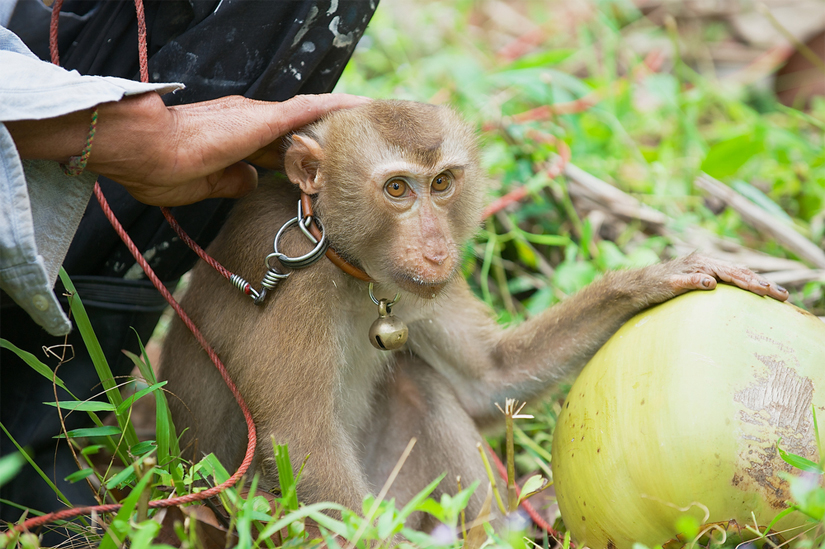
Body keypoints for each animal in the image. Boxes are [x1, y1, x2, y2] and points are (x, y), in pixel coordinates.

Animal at [159, 100, 788, 531]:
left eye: (441, 183)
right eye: (396, 189)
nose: (438, 248)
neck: (344, 263)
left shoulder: (417, 289)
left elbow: (488, 380)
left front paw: (650, 281)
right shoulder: (295, 280)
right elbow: (302, 440)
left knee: (419, 385)